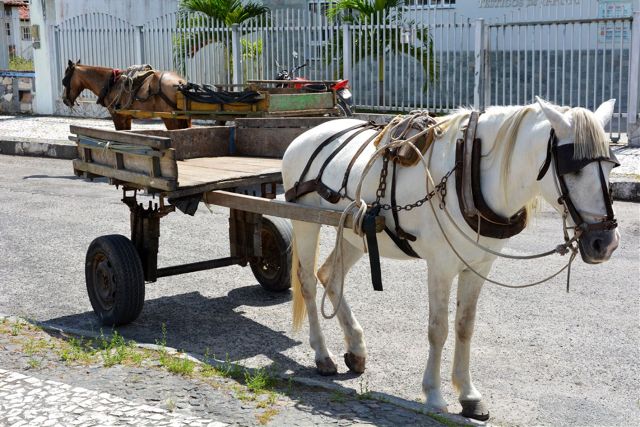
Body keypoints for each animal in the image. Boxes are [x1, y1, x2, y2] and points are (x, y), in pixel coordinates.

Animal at [61, 59, 191, 130]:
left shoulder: (117, 116)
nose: (64, 100)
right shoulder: (126, 117)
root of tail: (180, 82)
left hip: (170, 119)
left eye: (64, 80)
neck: (111, 83)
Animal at [282, 98, 620, 422]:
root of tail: (304, 136)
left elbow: (464, 326)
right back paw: (322, 355)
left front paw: (469, 396)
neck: (469, 172)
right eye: (573, 169)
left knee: (331, 276)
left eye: (611, 168)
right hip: (305, 221)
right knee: (308, 282)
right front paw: (433, 394)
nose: (604, 243)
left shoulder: (478, 266)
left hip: (356, 232)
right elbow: (438, 329)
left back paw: (355, 348)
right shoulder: (440, 266)